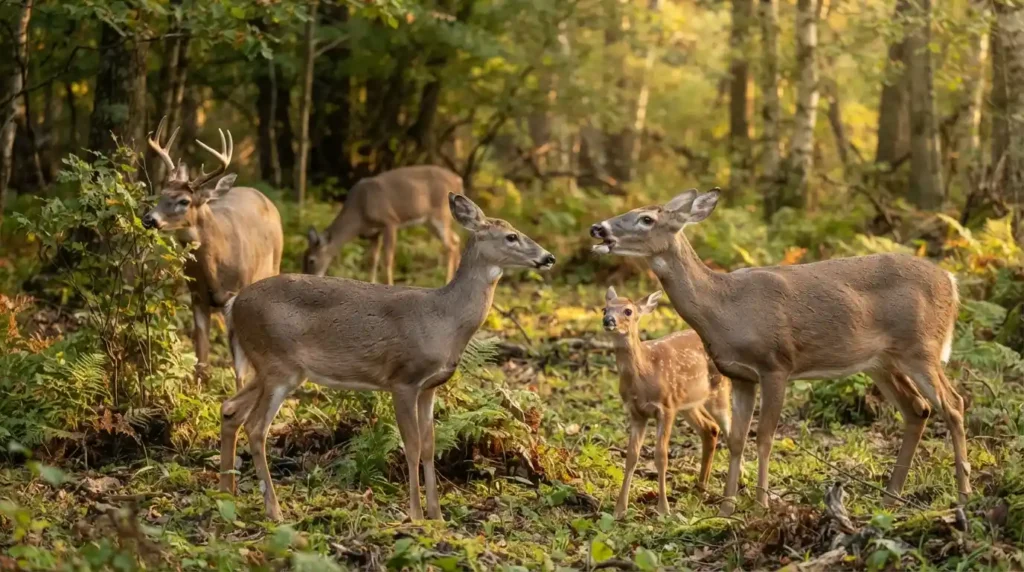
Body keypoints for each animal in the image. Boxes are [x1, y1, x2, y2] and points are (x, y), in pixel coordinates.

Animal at [143, 116, 283, 387]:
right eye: (162, 193)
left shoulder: (236, 293)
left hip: (273, 267)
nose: (149, 219)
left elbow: (238, 367)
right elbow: (201, 359)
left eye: (184, 201)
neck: (214, 266)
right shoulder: (197, 294)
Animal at [218, 193, 555, 522]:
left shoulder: (430, 386)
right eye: (511, 236)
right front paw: (416, 515)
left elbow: (430, 445)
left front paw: (437, 515)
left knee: (230, 409)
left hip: (271, 367)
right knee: (256, 427)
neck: (445, 320)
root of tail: (233, 304)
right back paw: (273, 510)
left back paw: (227, 493)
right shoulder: (403, 378)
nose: (548, 257)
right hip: (278, 363)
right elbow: (412, 445)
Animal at [303, 165, 463, 285]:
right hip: (430, 222)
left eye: (312, 260)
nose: (307, 277)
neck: (359, 212)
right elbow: (372, 260)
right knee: (456, 239)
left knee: (451, 245)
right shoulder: (374, 232)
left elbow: (388, 259)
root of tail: (458, 180)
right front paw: (371, 283)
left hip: (440, 214)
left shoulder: (390, 221)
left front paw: (389, 284)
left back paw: (447, 281)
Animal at [603, 287, 732, 519]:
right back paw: (700, 490)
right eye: (604, 309)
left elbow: (661, 457)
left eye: (628, 311)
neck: (644, 373)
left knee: (733, 431)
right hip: (689, 403)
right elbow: (631, 457)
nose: (608, 320)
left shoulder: (666, 407)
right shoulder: (636, 413)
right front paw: (619, 509)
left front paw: (663, 509)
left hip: (719, 391)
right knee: (710, 429)